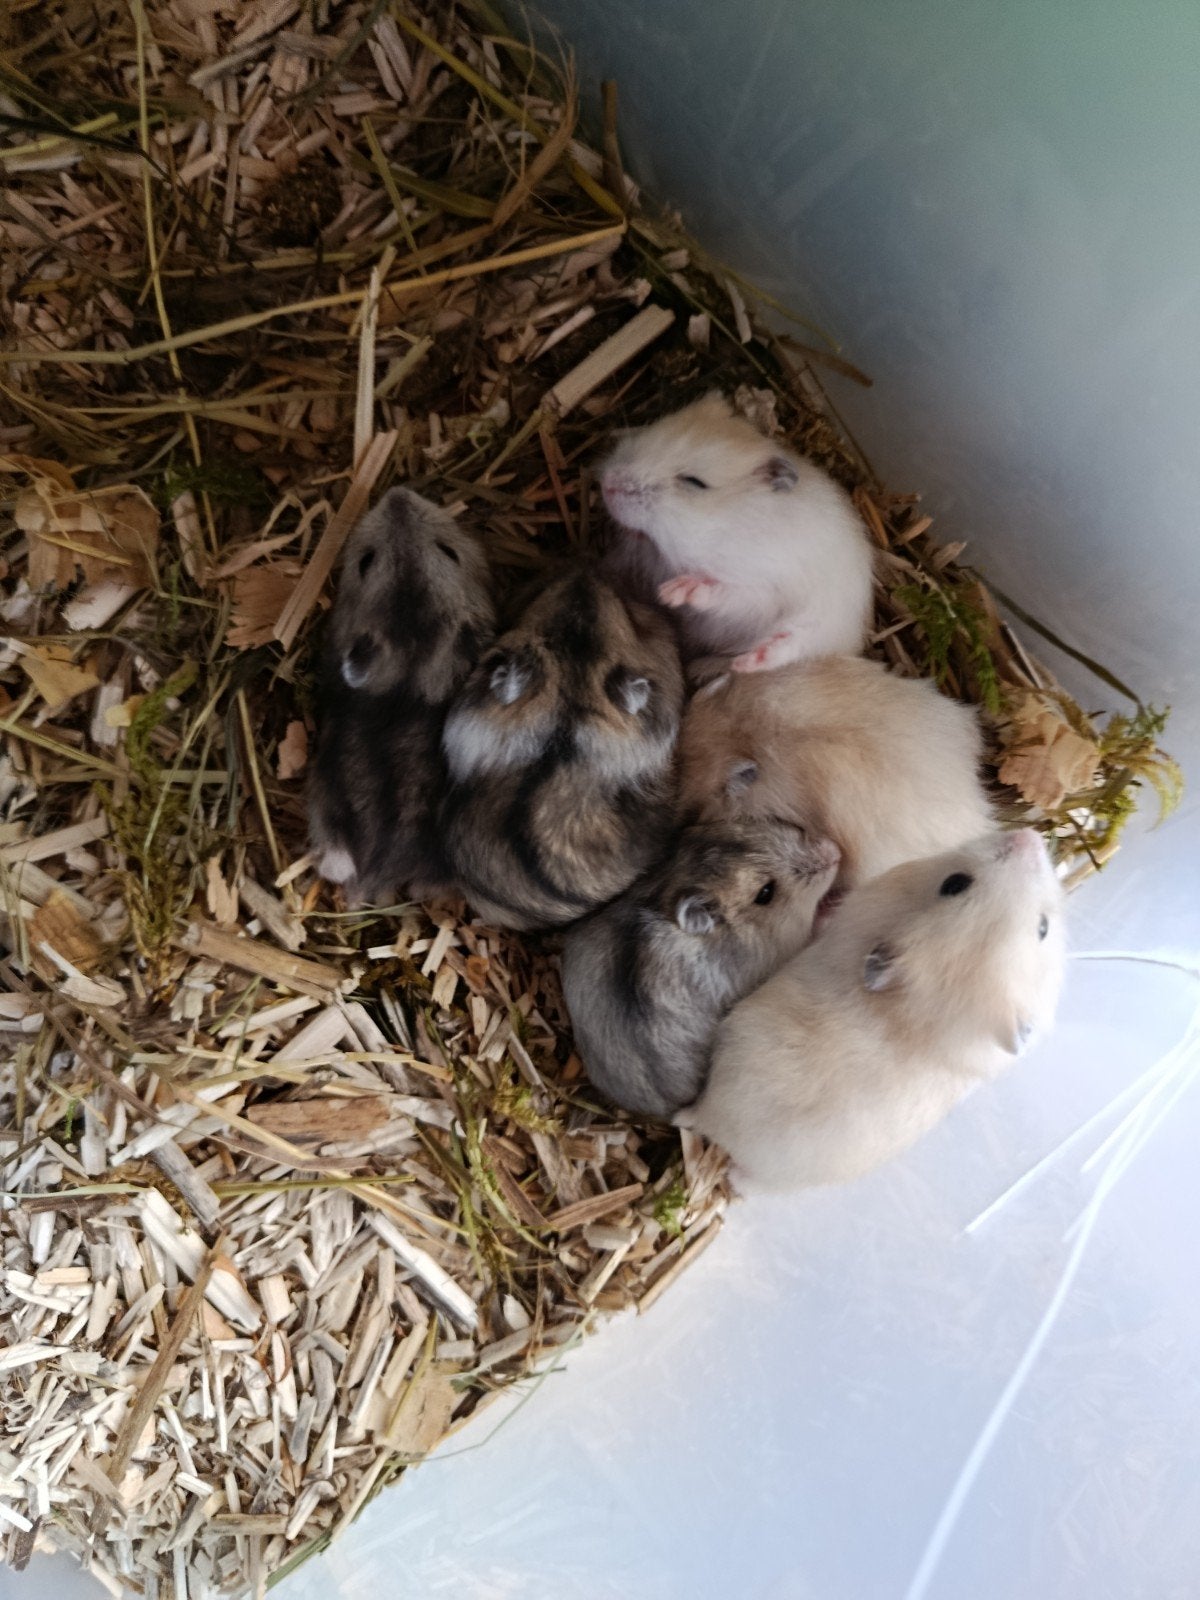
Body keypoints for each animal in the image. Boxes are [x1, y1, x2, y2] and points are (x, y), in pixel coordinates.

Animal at [599, 392, 873, 672]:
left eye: (694, 482)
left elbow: (728, 592)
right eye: (652, 429)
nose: (606, 484)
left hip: (823, 623)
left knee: (793, 643)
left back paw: (746, 662)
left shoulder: (763, 587)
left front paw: (673, 592)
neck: (729, 526)